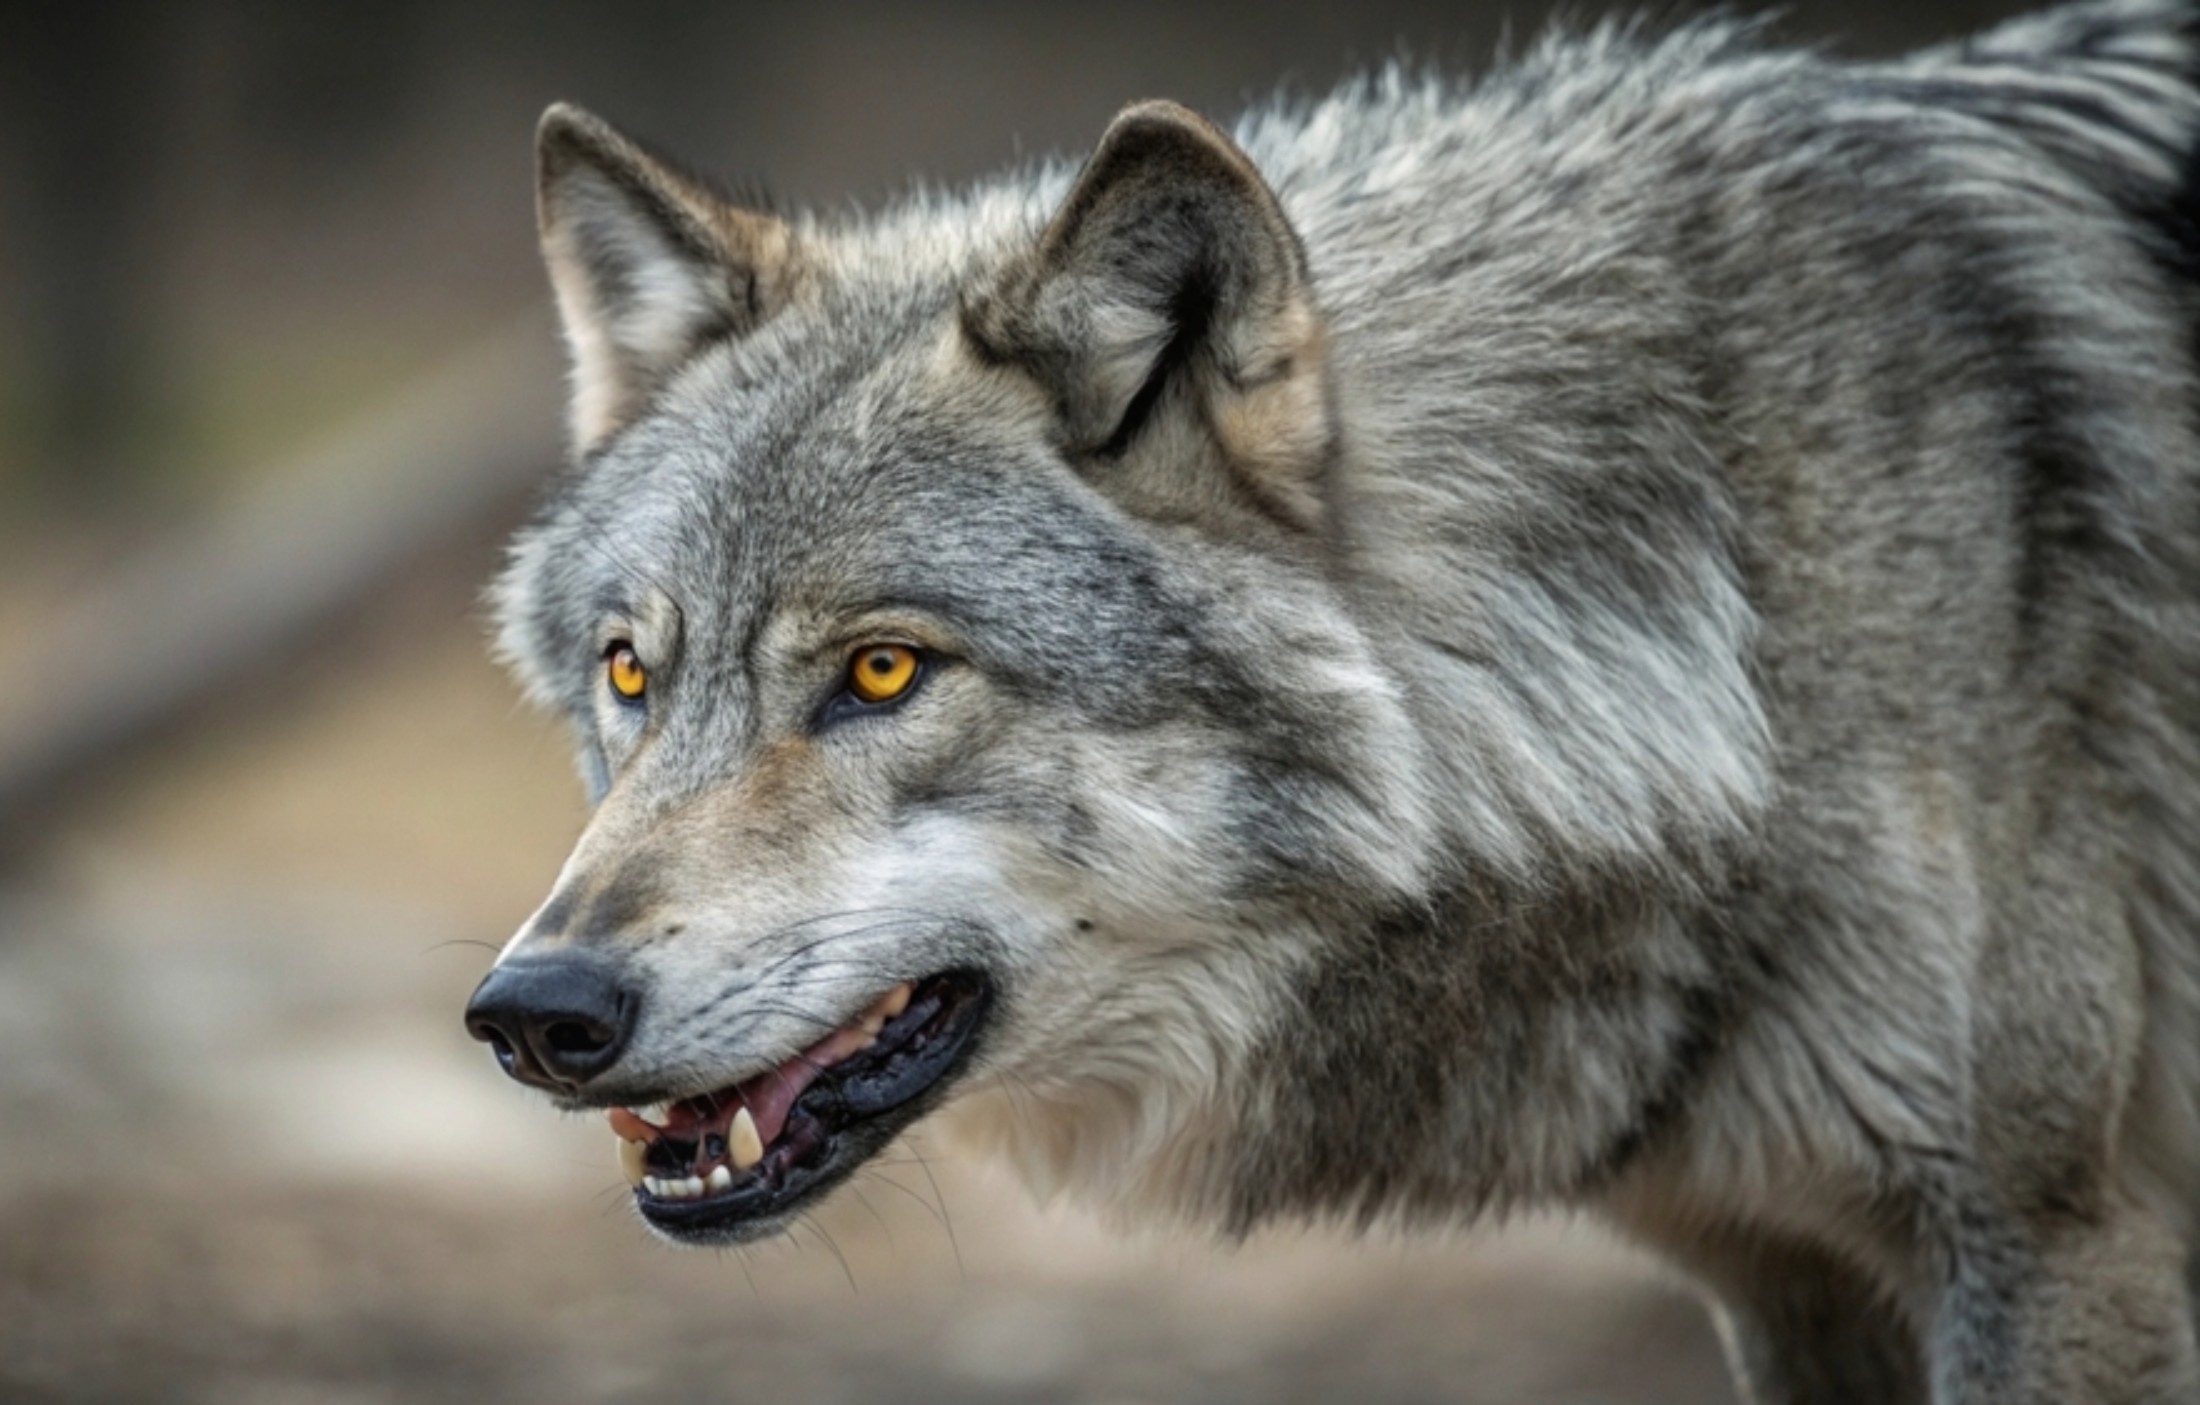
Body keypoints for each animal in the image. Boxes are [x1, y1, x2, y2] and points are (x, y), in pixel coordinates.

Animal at [462, 1, 2200, 1398]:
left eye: (883, 669)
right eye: (631, 671)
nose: (534, 1012)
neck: (1741, 615)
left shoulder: (2056, 1240)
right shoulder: (1787, 1276)